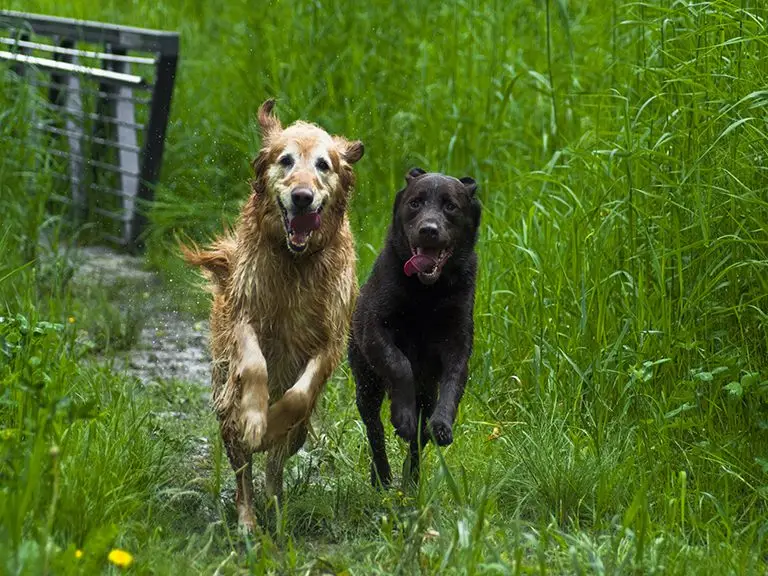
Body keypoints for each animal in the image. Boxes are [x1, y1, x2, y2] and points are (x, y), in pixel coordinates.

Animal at [348, 166, 480, 486]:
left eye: (450, 206)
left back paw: (411, 479)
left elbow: (452, 384)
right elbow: (400, 365)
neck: (427, 293)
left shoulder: (458, 344)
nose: (429, 229)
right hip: (366, 384)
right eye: (415, 203)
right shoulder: (376, 330)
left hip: (425, 393)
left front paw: (442, 425)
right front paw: (403, 418)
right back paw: (382, 476)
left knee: (418, 443)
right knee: (375, 431)